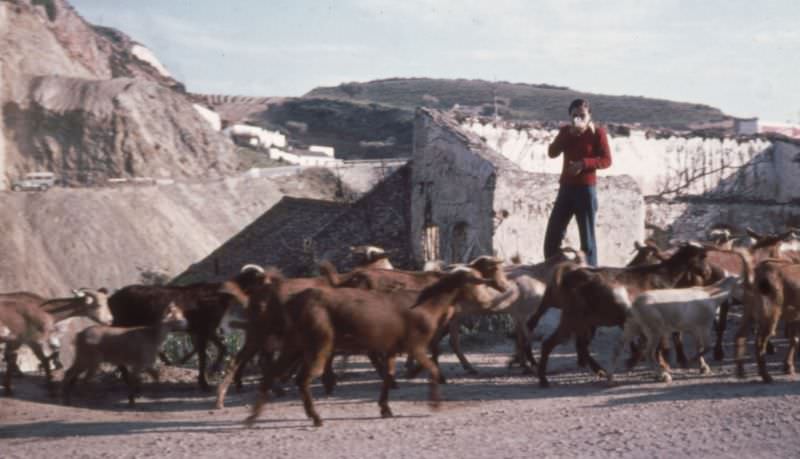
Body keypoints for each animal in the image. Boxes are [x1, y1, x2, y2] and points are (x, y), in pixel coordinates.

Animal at [244, 266, 506, 428]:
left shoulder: (391, 349)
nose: (488, 302)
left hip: (295, 345)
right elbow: (430, 368)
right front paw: (434, 402)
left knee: (270, 374)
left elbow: (388, 376)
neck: (427, 304)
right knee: (302, 379)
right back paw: (316, 416)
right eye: (473, 282)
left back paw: (253, 417)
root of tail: (296, 300)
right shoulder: (415, 345)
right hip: (320, 344)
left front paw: (385, 408)